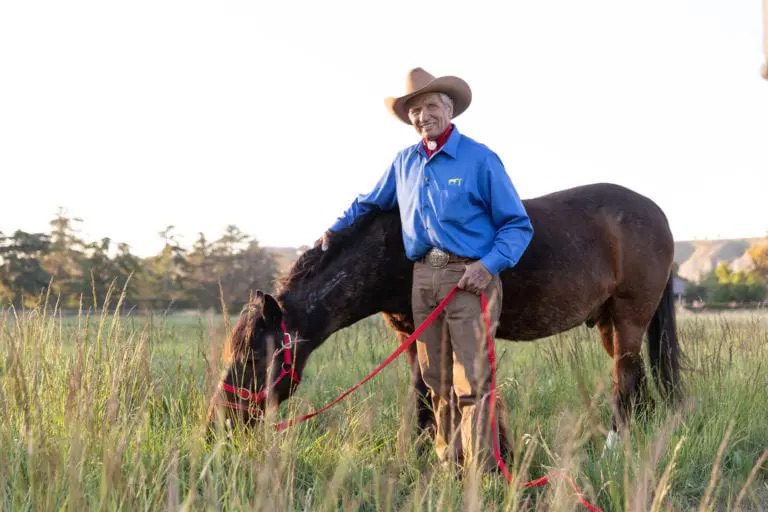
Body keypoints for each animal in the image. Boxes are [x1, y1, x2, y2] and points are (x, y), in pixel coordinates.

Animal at [208, 182, 680, 446]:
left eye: (254, 358)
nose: (219, 424)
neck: (393, 249)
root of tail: (658, 214)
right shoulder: (408, 333)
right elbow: (425, 393)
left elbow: (432, 394)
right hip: (610, 324)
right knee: (635, 381)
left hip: (630, 318)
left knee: (626, 380)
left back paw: (617, 443)